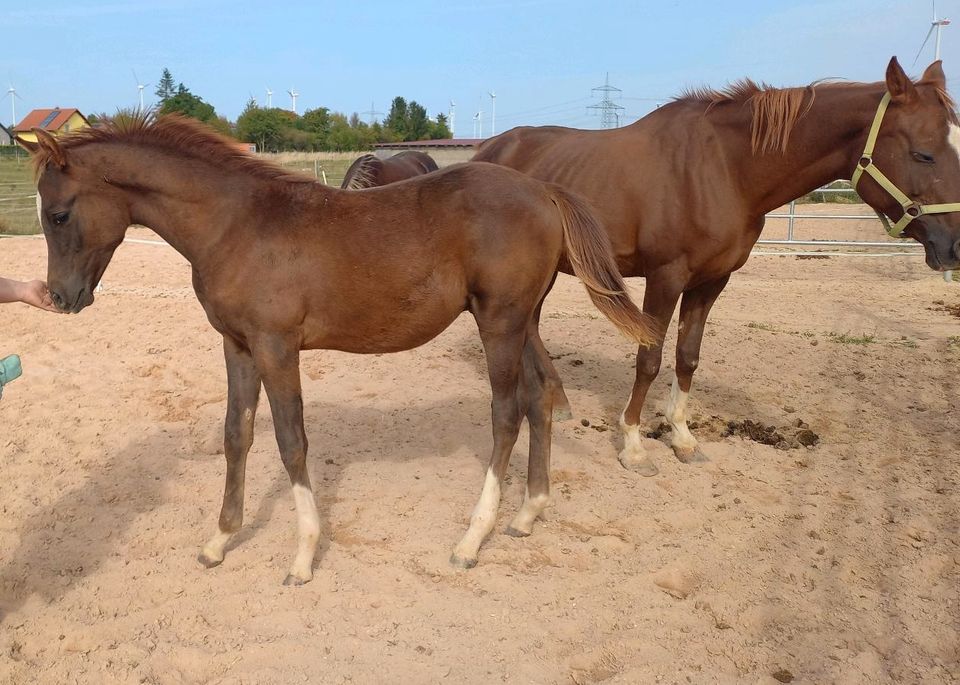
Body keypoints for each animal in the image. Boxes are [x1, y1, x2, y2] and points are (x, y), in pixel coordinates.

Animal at [18, 112, 660, 584]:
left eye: (59, 213)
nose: (62, 297)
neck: (235, 224)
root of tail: (544, 190)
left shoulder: (277, 347)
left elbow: (291, 440)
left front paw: (303, 556)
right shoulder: (237, 346)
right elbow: (236, 436)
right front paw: (219, 540)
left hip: (500, 323)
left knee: (506, 413)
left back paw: (471, 540)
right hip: (522, 321)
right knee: (541, 395)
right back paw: (528, 513)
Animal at [474, 58, 960, 476]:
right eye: (924, 154)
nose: (954, 246)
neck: (725, 169)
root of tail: (490, 148)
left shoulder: (712, 281)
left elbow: (688, 357)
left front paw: (682, 438)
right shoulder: (665, 278)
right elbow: (649, 359)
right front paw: (633, 446)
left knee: (531, 326)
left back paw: (556, 399)